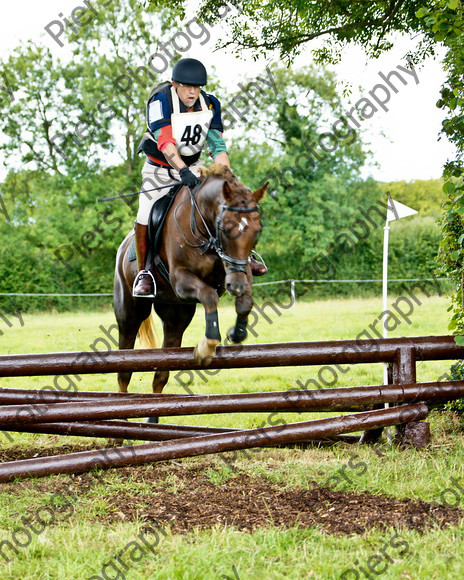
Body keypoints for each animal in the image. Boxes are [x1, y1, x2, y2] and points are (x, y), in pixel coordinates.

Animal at [113, 163, 268, 398]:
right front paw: (207, 346)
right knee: (124, 370)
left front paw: (237, 332)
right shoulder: (181, 279)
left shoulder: (239, 269)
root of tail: (122, 247)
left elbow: (245, 302)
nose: (236, 286)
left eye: (257, 230)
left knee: (161, 374)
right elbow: (209, 295)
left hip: (176, 314)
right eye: (225, 229)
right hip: (130, 313)